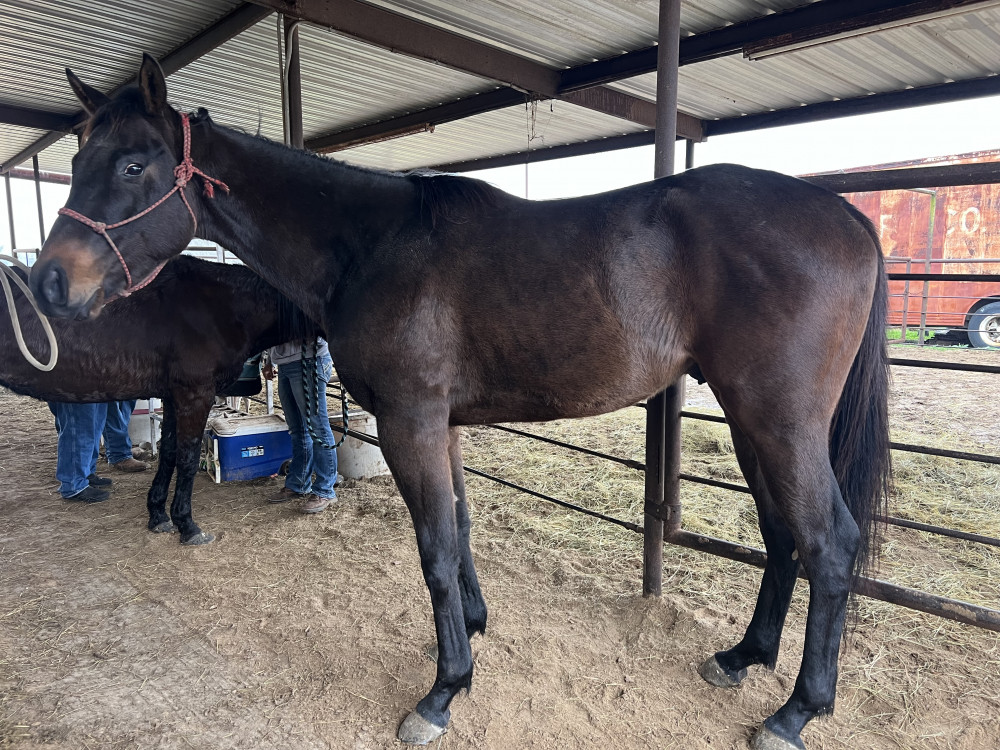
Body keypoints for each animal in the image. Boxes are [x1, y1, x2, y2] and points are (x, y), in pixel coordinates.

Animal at [5, 253, 317, 545]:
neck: (219, 307)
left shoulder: (172, 397)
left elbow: (168, 453)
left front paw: (158, 515)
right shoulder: (195, 395)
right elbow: (187, 458)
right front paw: (187, 525)